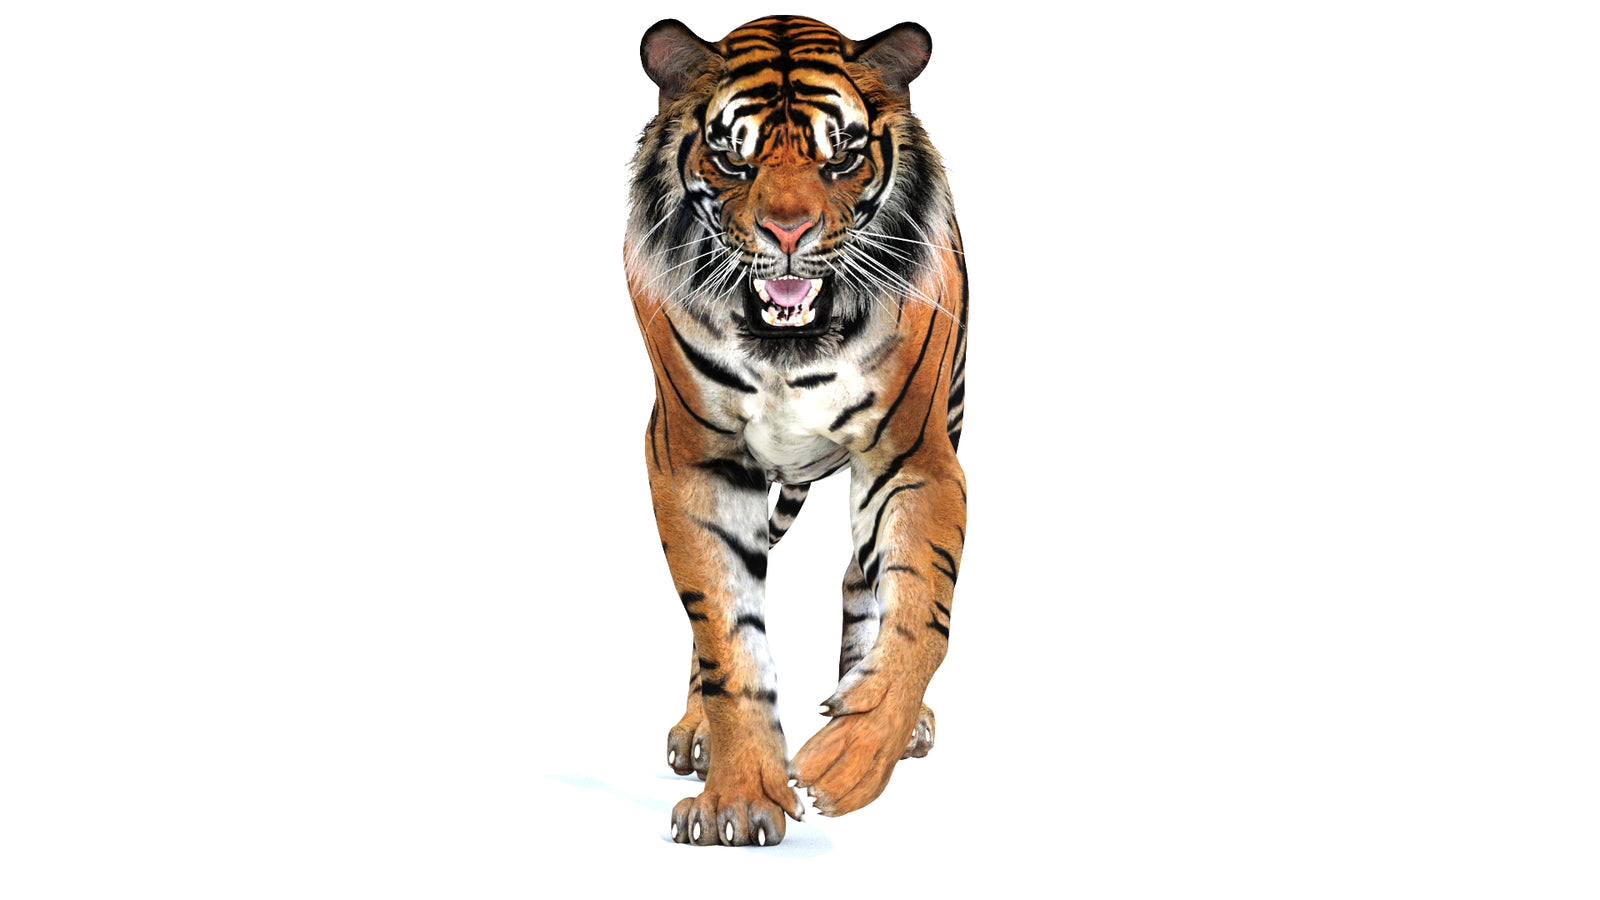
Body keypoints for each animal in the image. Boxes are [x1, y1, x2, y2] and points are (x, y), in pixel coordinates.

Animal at [625, 15, 968, 847]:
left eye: (839, 157)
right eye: (732, 159)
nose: (789, 231)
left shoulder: (915, 457)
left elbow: (919, 617)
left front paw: (852, 755)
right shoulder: (693, 462)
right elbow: (726, 637)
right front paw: (738, 796)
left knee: (863, 582)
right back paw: (697, 734)